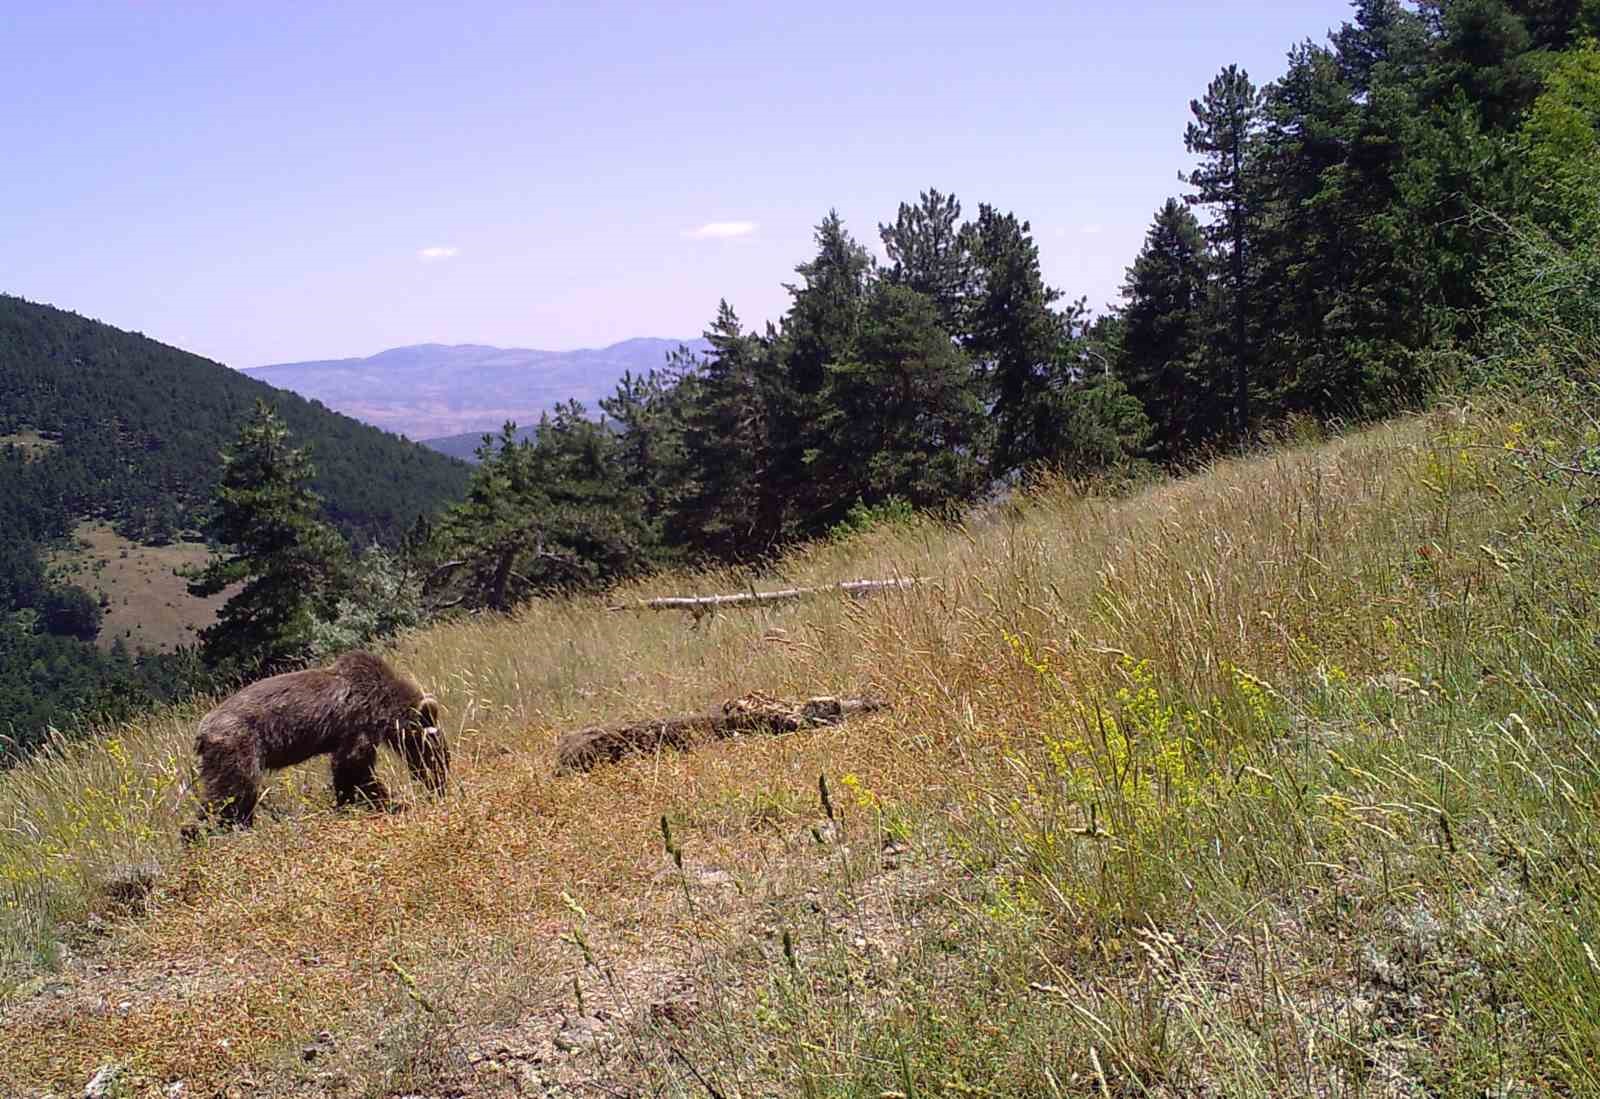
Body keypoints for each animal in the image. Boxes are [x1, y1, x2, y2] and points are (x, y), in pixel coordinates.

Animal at [192, 649, 451, 831]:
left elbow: (349, 770)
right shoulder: (358, 723)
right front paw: (385, 801)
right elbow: (354, 766)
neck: (385, 707)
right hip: (238, 745)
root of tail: (202, 730)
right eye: (436, 753)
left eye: (444, 756)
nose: (440, 785)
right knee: (234, 792)